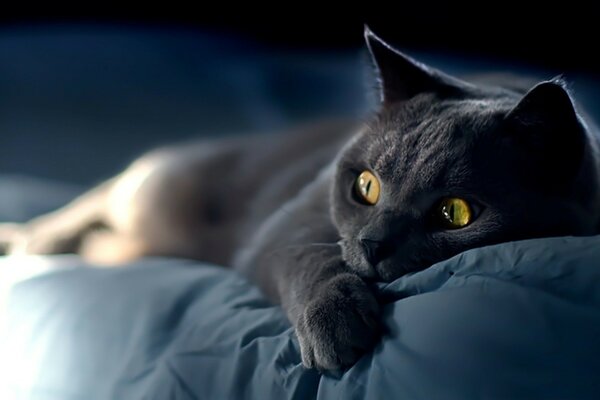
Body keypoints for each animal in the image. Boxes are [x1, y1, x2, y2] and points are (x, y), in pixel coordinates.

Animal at [1, 28, 600, 372]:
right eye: (366, 186)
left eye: (455, 213)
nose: (373, 244)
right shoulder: (289, 226)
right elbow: (313, 258)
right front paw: (337, 326)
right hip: (156, 187)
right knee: (94, 198)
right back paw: (28, 242)